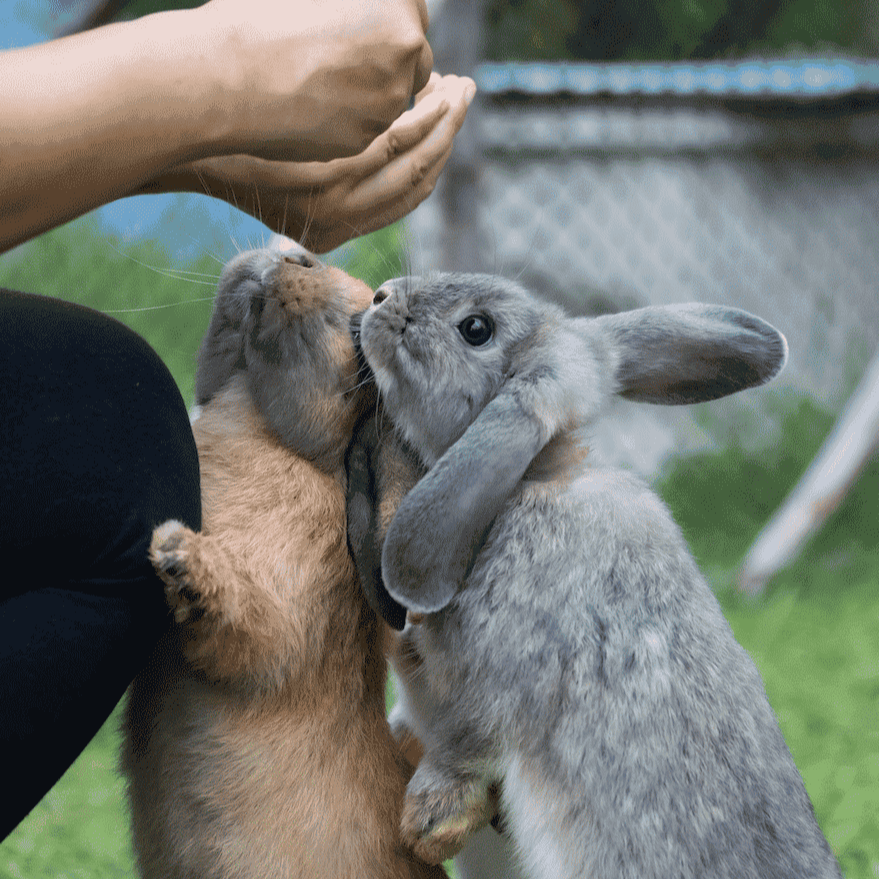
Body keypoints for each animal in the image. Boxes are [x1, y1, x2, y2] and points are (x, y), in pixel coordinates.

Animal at [346, 270, 844, 879]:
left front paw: (428, 822)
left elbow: (467, 747)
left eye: (476, 329)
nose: (381, 297)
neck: (529, 481)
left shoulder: (489, 687)